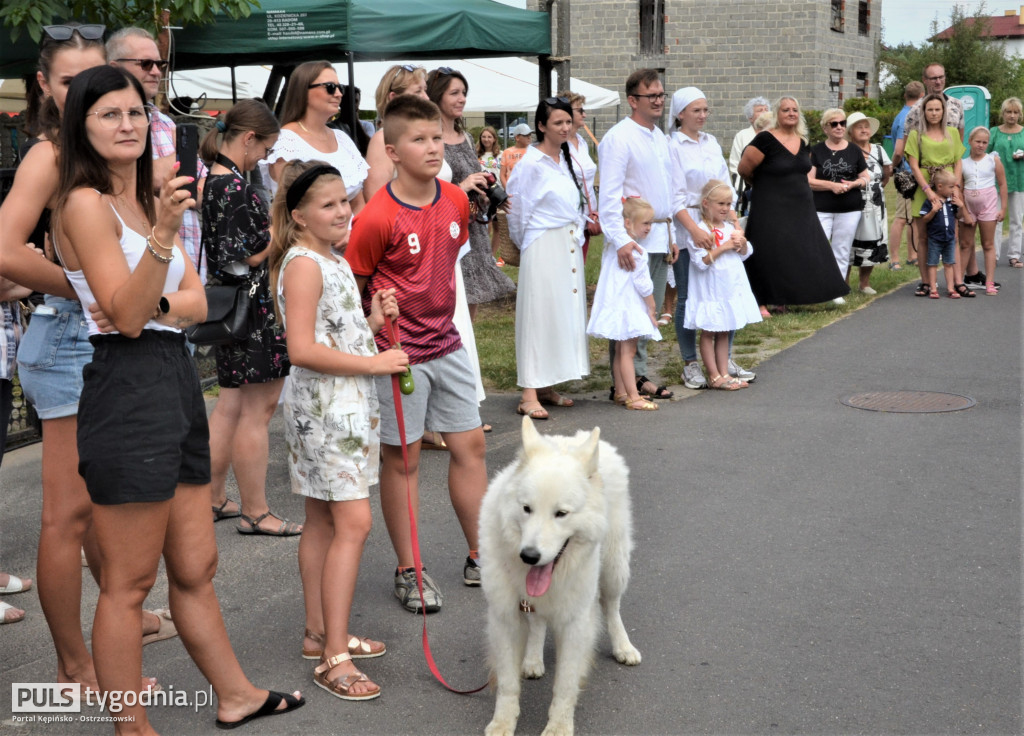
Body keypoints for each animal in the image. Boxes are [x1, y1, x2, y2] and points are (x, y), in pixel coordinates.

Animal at [479, 417, 638, 732]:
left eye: (561, 514)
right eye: (526, 509)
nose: (529, 556)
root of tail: (574, 437)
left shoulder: (574, 623)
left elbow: (564, 686)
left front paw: (558, 727)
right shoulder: (505, 618)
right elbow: (507, 685)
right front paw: (503, 723)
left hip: (614, 569)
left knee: (612, 607)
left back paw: (623, 646)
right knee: (538, 621)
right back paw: (532, 659)